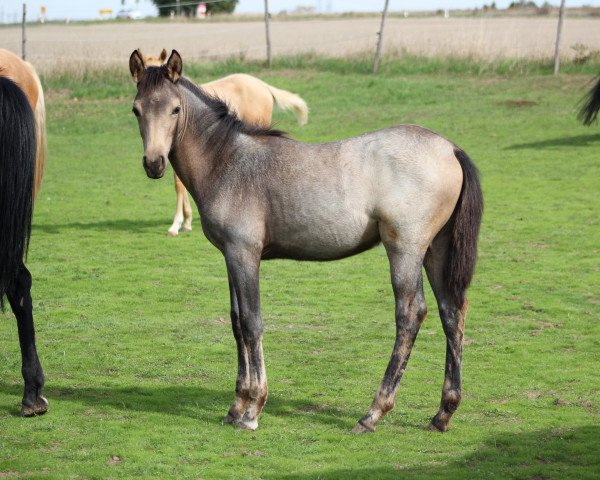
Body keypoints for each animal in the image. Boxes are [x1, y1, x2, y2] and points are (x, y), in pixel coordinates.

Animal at [135, 48, 308, 236]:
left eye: (175, 109)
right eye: (136, 110)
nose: (152, 164)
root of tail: (263, 85)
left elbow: (179, 184)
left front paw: (177, 224)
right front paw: (186, 221)